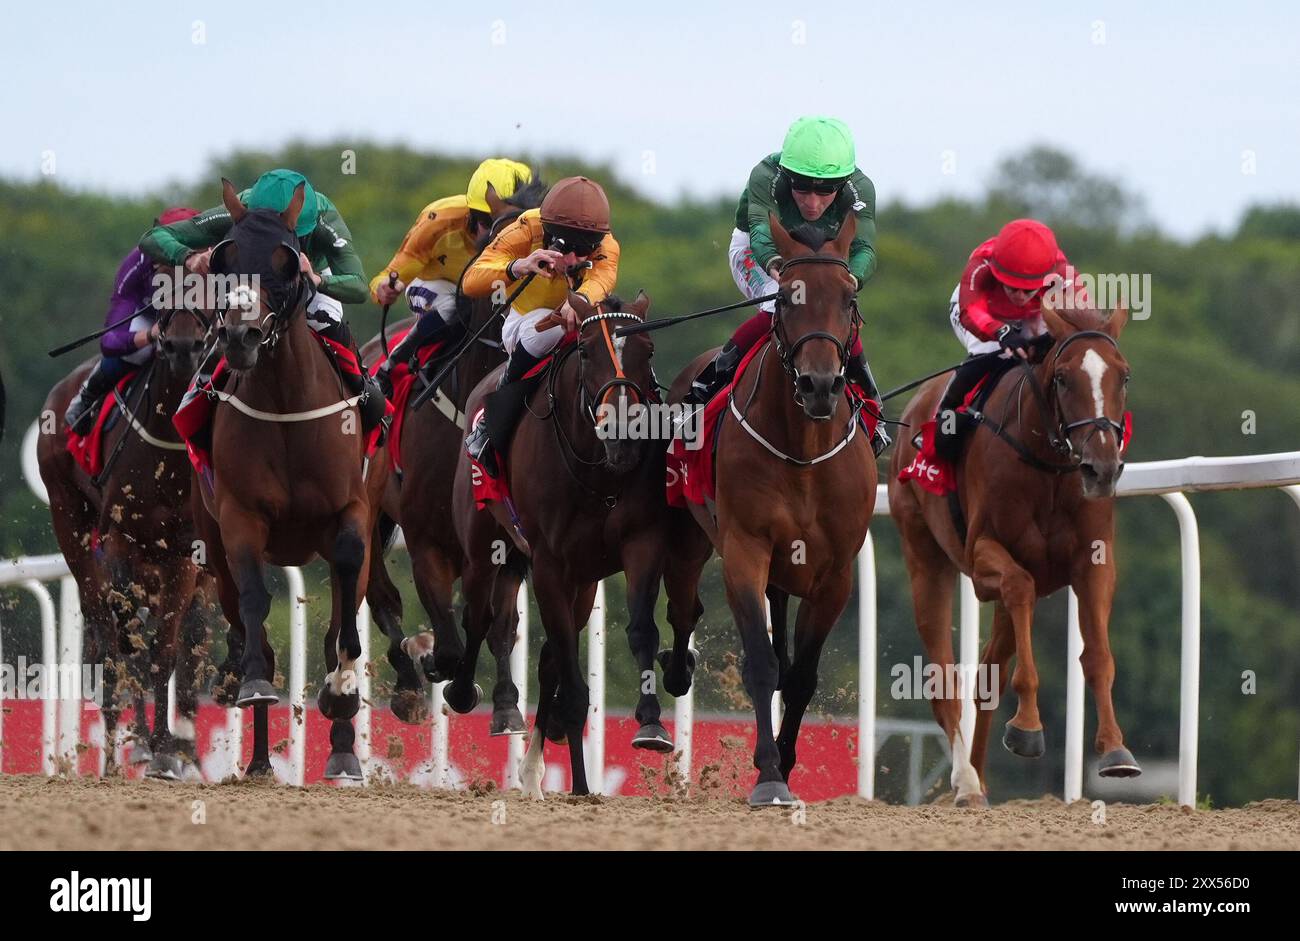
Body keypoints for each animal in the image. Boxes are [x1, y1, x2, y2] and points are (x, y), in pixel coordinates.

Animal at [36, 280, 214, 779]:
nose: (183, 346)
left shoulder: (186, 557)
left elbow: (167, 650)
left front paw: (167, 749)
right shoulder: (119, 545)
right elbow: (128, 641)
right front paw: (145, 746)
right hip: (71, 523)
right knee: (107, 632)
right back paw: (116, 745)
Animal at [189, 181, 387, 779]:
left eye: (285, 260)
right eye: (226, 257)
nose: (242, 335)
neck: (285, 407)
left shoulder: (352, 511)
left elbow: (344, 592)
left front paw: (342, 691)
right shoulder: (239, 516)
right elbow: (256, 602)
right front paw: (254, 682)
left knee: (340, 613)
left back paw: (343, 752)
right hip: (212, 545)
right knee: (242, 613)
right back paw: (257, 761)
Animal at [452, 292, 686, 795]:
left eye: (649, 351)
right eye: (585, 352)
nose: (623, 436)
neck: (598, 474)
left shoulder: (640, 544)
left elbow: (639, 631)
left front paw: (651, 724)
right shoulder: (548, 565)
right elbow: (572, 682)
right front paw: (579, 784)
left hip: (582, 579)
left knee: (547, 657)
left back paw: (533, 766)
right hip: (482, 543)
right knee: (479, 615)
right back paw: (466, 693)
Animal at [665, 217, 878, 805]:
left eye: (850, 297)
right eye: (784, 298)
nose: (820, 384)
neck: (803, 450)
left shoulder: (836, 573)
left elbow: (801, 674)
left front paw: (786, 759)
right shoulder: (746, 550)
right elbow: (760, 662)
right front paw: (768, 774)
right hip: (690, 531)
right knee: (684, 605)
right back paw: (674, 667)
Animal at [883, 297, 1138, 805]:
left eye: (1122, 375)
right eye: (1064, 378)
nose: (1101, 467)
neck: (1050, 465)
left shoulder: (1094, 562)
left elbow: (1098, 655)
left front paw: (1115, 749)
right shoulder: (984, 559)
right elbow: (1018, 589)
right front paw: (1027, 727)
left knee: (987, 675)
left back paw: (979, 779)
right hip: (924, 554)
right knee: (945, 675)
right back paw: (965, 782)